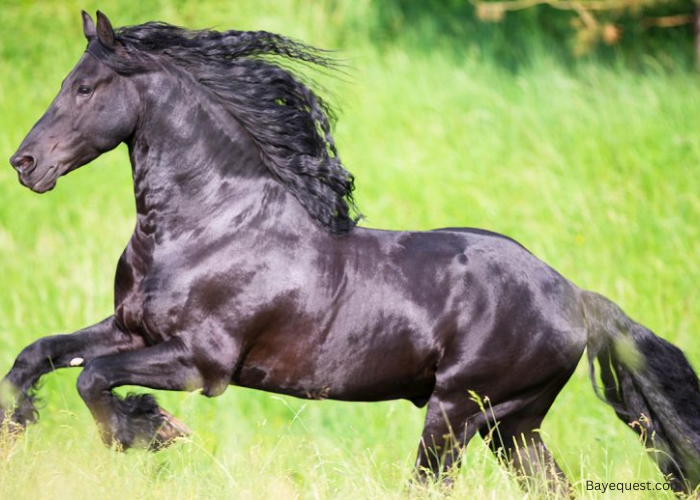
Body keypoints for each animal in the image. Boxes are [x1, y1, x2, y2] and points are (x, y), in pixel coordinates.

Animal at [6, 10, 700, 494]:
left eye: (87, 87)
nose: (24, 164)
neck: (208, 224)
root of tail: (575, 297)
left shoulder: (202, 363)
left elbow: (94, 378)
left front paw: (148, 430)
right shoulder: (131, 330)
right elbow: (39, 357)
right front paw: (23, 427)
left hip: (457, 414)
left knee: (431, 483)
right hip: (512, 427)